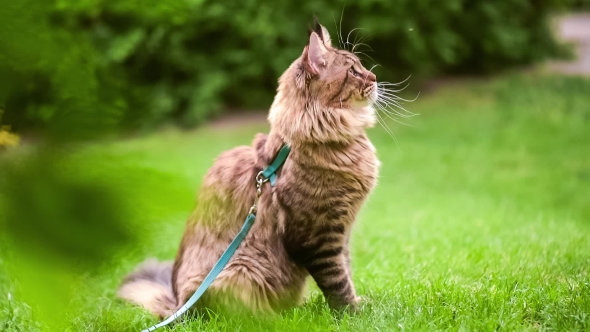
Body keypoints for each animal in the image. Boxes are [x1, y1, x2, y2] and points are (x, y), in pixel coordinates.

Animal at [118, 17, 382, 320]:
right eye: (353, 71)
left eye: (360, 65)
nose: (374, 78)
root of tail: (176, 305)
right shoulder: (315, 236)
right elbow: (337, 280)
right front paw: (352, 313)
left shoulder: (341, 232)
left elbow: (346, 269)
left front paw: (358, 303)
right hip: (240, 270)